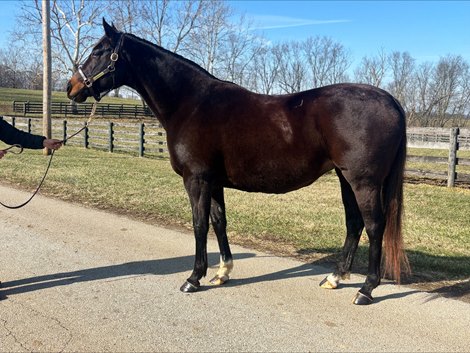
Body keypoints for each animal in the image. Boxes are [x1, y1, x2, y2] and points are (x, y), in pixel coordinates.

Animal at [68, 20, 410, 304]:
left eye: (99, 51)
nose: (71, 88)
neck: (191, 104)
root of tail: (390, 100)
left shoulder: (197, 179)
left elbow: (199, 224)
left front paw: (193, 278)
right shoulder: (214, 181)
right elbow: (219, 222)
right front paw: (222, 272)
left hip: (363, 182)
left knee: (374, 226)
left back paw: (366, 289)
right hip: (344, 177)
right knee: (354, 224)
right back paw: (335, 278)